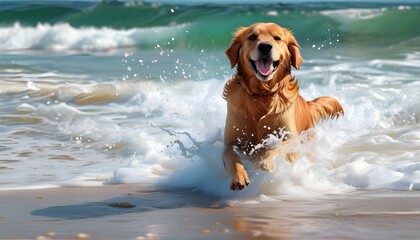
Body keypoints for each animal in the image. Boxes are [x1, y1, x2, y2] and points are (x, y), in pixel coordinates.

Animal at [221, 23, 342, 191]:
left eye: (277, 38)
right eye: (252, 37)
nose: (265, 46)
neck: (262, 94)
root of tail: (307, 104)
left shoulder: (290, 139)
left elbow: (277, 147)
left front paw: (264, 161)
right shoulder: (230, 142)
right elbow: (230, 156)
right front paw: (239, 176)